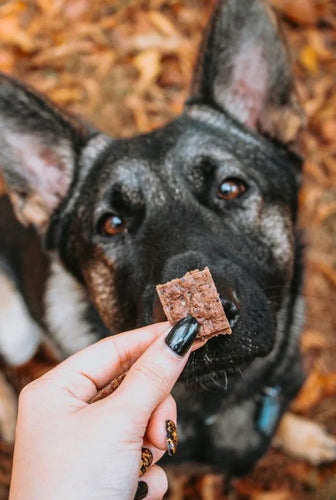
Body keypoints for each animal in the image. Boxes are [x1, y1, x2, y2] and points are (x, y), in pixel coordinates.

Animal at [0, 0, 336, 478]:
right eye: (112, 224)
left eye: (231, 188)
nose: (206, 315)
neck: (218, 402)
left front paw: (301, 435)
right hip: (16, 334)